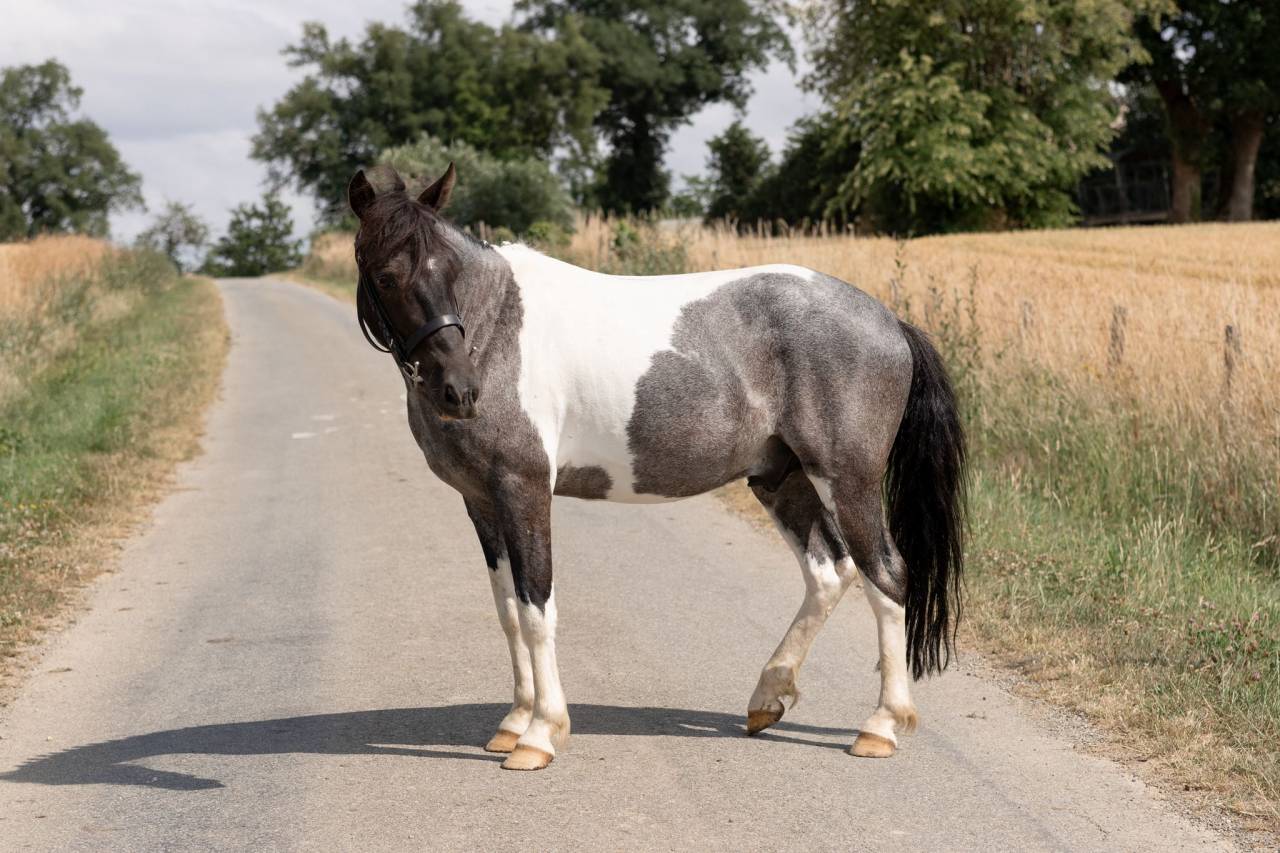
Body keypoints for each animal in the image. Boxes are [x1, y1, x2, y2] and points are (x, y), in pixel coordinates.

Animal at [347, 164, 966, 771]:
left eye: (448, 271)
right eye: (385, 277)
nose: (460, 390)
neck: (495, 327)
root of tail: (889, 320)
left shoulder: (523, 489)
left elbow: (536, 605)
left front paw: (541, 734)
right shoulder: (480, 499)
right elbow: (507, 609)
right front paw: (514, 722)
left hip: (847, 479)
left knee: (886, 576)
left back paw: (881, 726)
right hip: (782, 478)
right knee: (829, 573)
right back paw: (768, 698)